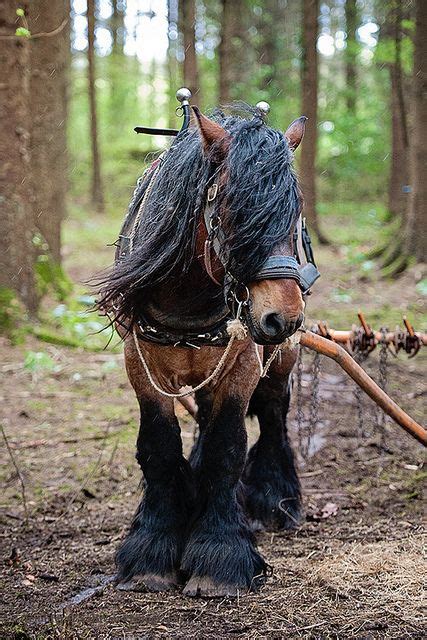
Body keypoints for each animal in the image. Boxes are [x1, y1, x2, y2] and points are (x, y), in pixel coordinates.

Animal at [98, 102, 316, 596]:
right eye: (236, 210)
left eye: (293, 215)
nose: (284, 317)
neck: (189, 296)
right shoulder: (141, 366)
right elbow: (158, 445)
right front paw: (152, 548)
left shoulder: (243, 365)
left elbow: (227, 447)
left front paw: (220, 555)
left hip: (282, 357)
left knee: (274, 412)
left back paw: (275, 498)